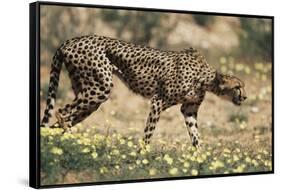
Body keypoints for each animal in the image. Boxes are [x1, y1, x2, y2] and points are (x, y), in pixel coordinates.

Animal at [40, 35, 246, 148]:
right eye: (237, 87)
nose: (244, 97)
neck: (206, 79)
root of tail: (69, 40)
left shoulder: (188, 109)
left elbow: (196, 137)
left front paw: (200, 159)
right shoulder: (158, 102)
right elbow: (149, 133)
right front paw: (142, 156)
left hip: (90, 93)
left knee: (60, 121)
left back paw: (61, 146)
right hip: (100, 88)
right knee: (61, 112)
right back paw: (67, 139)